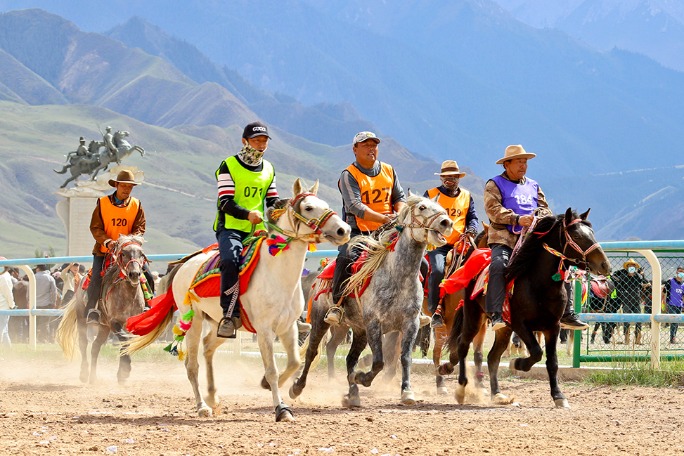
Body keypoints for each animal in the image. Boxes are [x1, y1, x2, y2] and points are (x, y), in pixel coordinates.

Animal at [123, 180, 350, 422]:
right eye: (308, 207)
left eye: (325, 204)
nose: (343, 230)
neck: (277, 274)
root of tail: (184, 265)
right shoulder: (265, 330)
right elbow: (272, 370)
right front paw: (281, 409)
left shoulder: (288, 327)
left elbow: (293, 363)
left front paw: (269, 386)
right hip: (193, 322)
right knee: (192, 365)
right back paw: (202, 406)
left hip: (220, 323)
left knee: (208, 347)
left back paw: (213, 396)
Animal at [444, 208, 608, 408]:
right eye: (576, 235)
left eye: (591, 232)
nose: (605, 265)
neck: (539, 284)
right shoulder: (520, 324)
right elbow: (537, 352)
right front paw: (517, 363)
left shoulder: (552, 327)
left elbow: (552, 362)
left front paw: (558, 396)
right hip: (474, 317)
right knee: (463, 346)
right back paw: (461, 389)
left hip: (504, 329)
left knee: (492, 357)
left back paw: (497, 394)